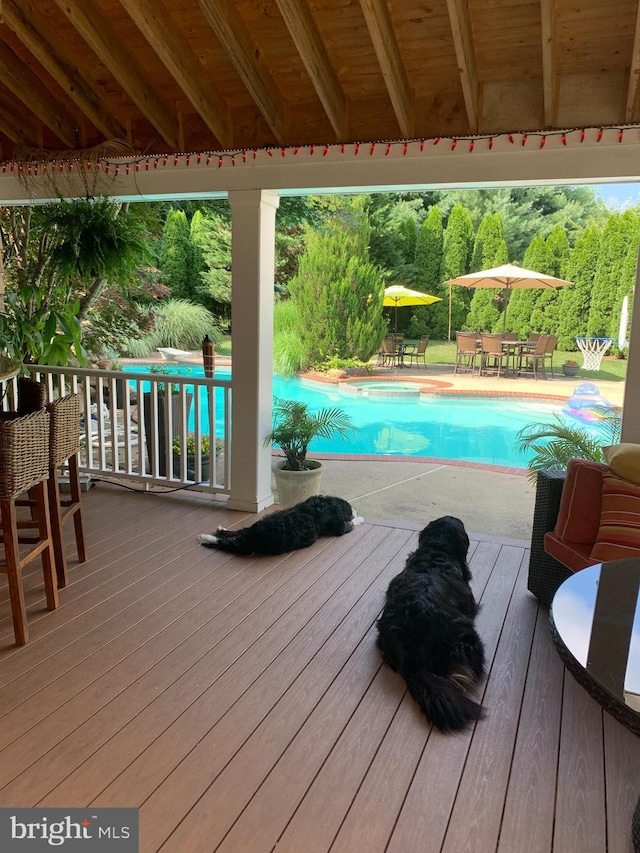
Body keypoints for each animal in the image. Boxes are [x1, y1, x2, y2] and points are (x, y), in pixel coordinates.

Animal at [198, 496, 362, 556]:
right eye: (350, 509)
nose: (356, 511)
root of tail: (252, 535)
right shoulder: (339, 528)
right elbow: (351, 524)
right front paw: (359, 518)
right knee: (224, 543)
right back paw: (206, 538)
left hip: (252, 527)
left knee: (237, 531)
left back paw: (221, 530)